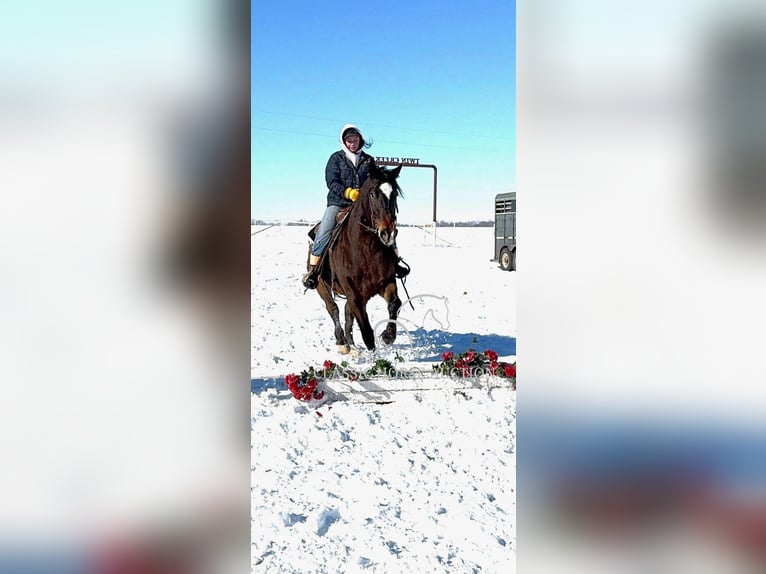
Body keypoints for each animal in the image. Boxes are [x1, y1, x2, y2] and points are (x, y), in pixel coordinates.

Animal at [308, 164, 404, 356]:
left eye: (395, 194)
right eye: (373, 193)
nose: (388, 233)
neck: (366, 250)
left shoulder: (385, 283)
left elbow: (395, 303)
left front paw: (388, 336)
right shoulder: (355, 296)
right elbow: (367, 333)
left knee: (346, 312)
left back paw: (352, 345)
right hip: (322, 287)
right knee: (333, 309)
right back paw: (342, 343)